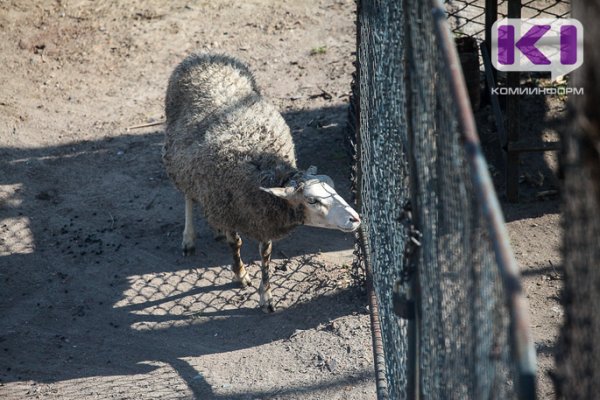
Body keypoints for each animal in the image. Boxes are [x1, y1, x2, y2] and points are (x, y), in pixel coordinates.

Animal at [162, 54, 360, 312]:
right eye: (312, 200)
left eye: (332, 187)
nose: (355, 218)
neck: (268, 171)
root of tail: (204, 55)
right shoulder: (227, 207)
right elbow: (235, 243)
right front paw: (240, 274)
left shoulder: (263, 219)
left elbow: (265, 254)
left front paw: (266, 296)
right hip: (178, 159)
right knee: (187, 195)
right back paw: (189, 238)